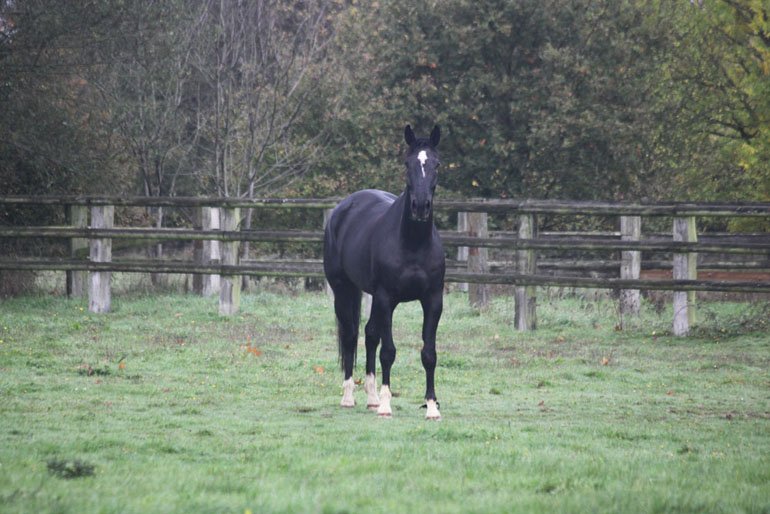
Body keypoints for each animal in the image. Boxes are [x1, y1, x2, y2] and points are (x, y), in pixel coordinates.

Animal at [323, 124, 445, 420]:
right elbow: (388, 351)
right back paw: (349, 397)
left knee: (369, 335)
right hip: (344, 290)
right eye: (407, 164)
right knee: (351, 335)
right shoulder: (387, 298)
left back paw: (371, 397)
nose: (420, 206)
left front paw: (431, 406)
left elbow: (429, 354)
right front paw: (387, 405)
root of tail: (342, 209)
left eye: (436, 164)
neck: (413, 243)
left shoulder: (433, 300)